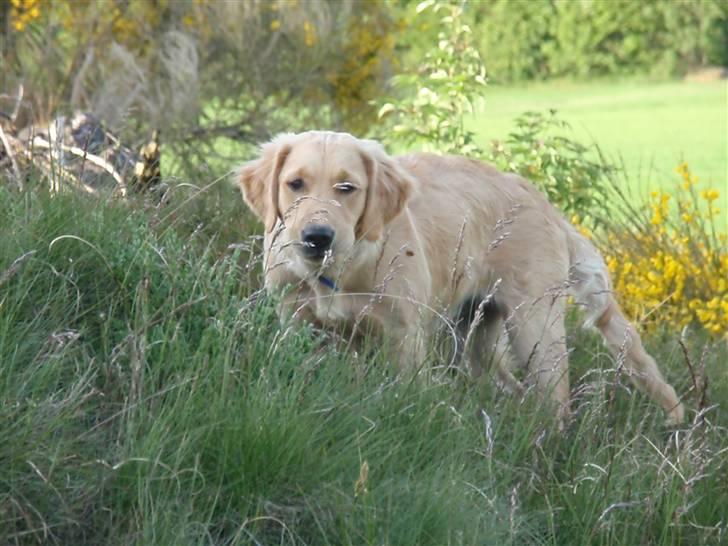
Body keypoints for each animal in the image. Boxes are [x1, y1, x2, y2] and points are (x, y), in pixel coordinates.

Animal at [236, 130, 684, 422]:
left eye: (347, 188)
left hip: (535, 328)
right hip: (478, 339)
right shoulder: (297, 326)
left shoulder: (404, 338)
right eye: (295, 184)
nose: (317, 238)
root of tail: (543, 201)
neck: (336, 275)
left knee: (555, 403)